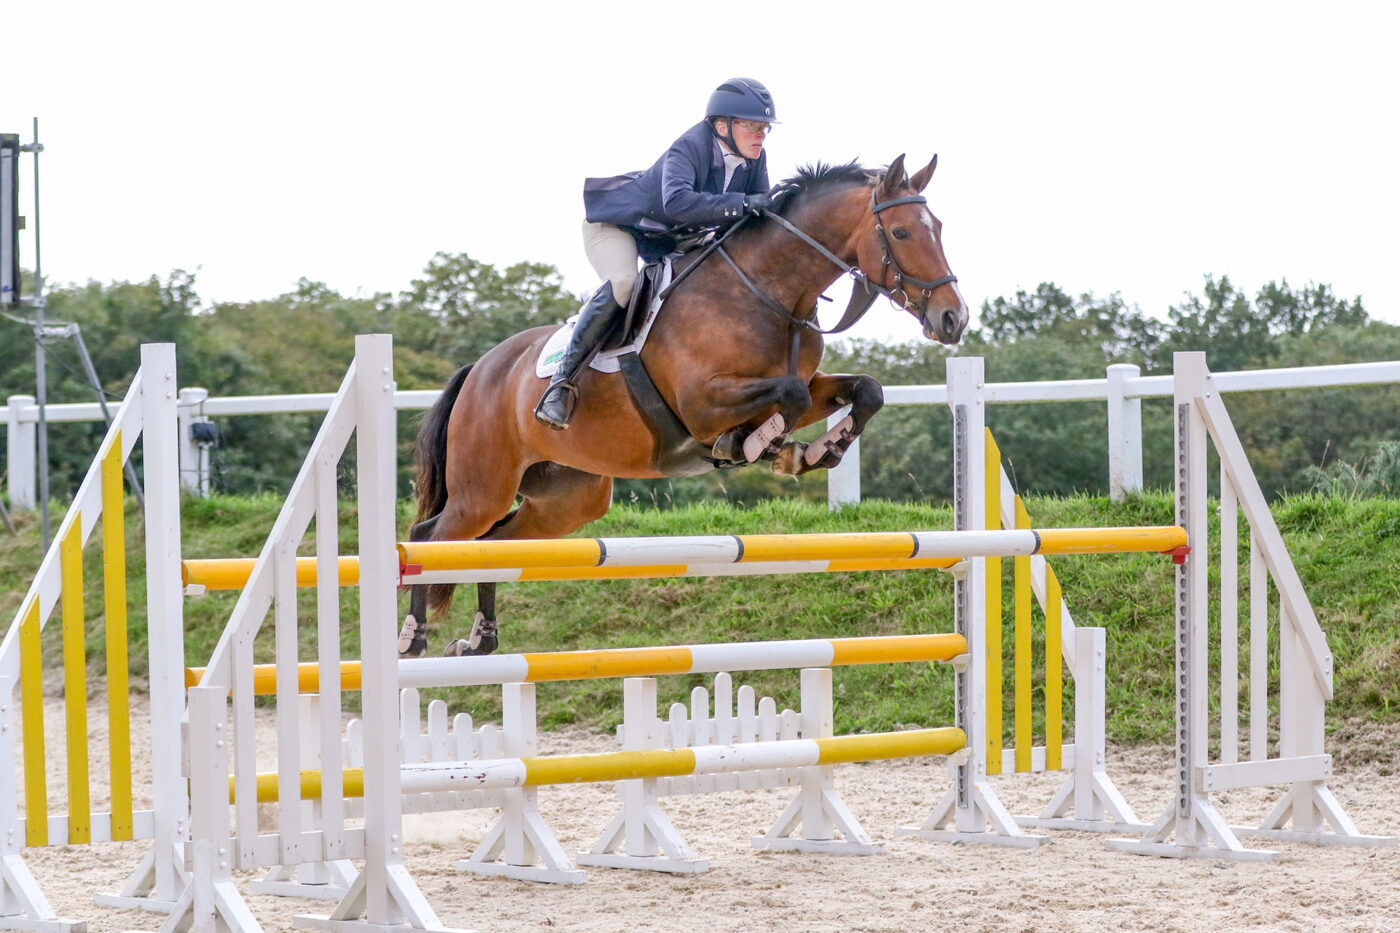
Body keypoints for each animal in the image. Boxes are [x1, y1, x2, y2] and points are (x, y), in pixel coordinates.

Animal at [394, 154, 963, 652]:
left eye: (938, 227)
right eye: (902, 232)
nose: (953, 319)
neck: (769, 292)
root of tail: (479, 368)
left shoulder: (805, 382)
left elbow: (864, 389)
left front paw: (814, 450)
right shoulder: (701, 403)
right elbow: (788, 396)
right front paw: (760, 445)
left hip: (567, 499)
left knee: (493, 543)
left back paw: (480, 639)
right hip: (483, 488)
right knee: (432, 535)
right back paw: (413, 637)